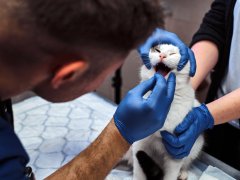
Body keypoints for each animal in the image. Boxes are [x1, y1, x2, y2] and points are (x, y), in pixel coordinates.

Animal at [123, 44, 203, 180]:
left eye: (172, 54)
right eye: (157, 50)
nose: (162, 55)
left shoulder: (176, 154)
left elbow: (170, 175)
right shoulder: (140, 145)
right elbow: (139, 173)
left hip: (194, 147)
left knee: (186, 163)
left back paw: (183, 173)